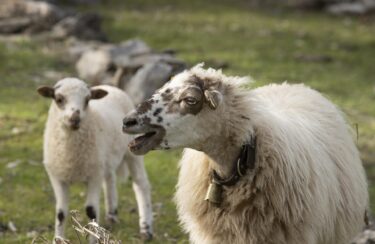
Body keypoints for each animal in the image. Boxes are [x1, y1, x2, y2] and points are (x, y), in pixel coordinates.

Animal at [37, 78, 153, 240]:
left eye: (87, 100)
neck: (71, 158)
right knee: (110, 180)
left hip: (132, 152)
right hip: (104, 159)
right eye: (59, 99)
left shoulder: (94, 176)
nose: (75, 118)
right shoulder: (58, 177)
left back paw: (146, 229)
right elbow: (60, 213)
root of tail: (110, 87)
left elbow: (91, 211)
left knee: (141, 184)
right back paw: (112, 215)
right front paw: (58, 240)